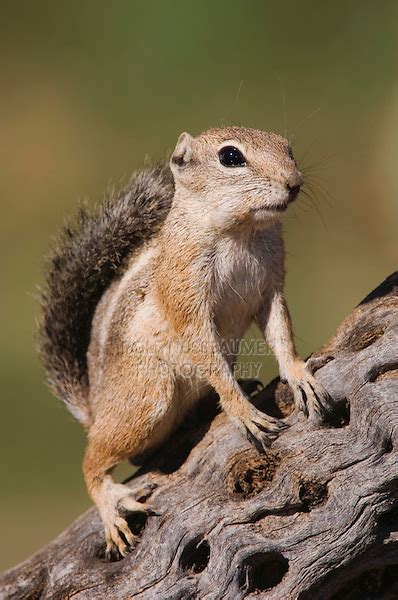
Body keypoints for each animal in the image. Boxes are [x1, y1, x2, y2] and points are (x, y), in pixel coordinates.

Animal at [40, 124, 332, 560]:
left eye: (288, 148)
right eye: (231, 157)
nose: (293, 183)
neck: (239, 231)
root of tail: (95, 405)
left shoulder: (270, 290)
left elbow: (281, 333)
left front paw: (298, 376)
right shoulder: (187, 299)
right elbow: (204, 349)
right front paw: (241, 410)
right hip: (146, 400)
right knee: (92, 460)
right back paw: (111, 506)